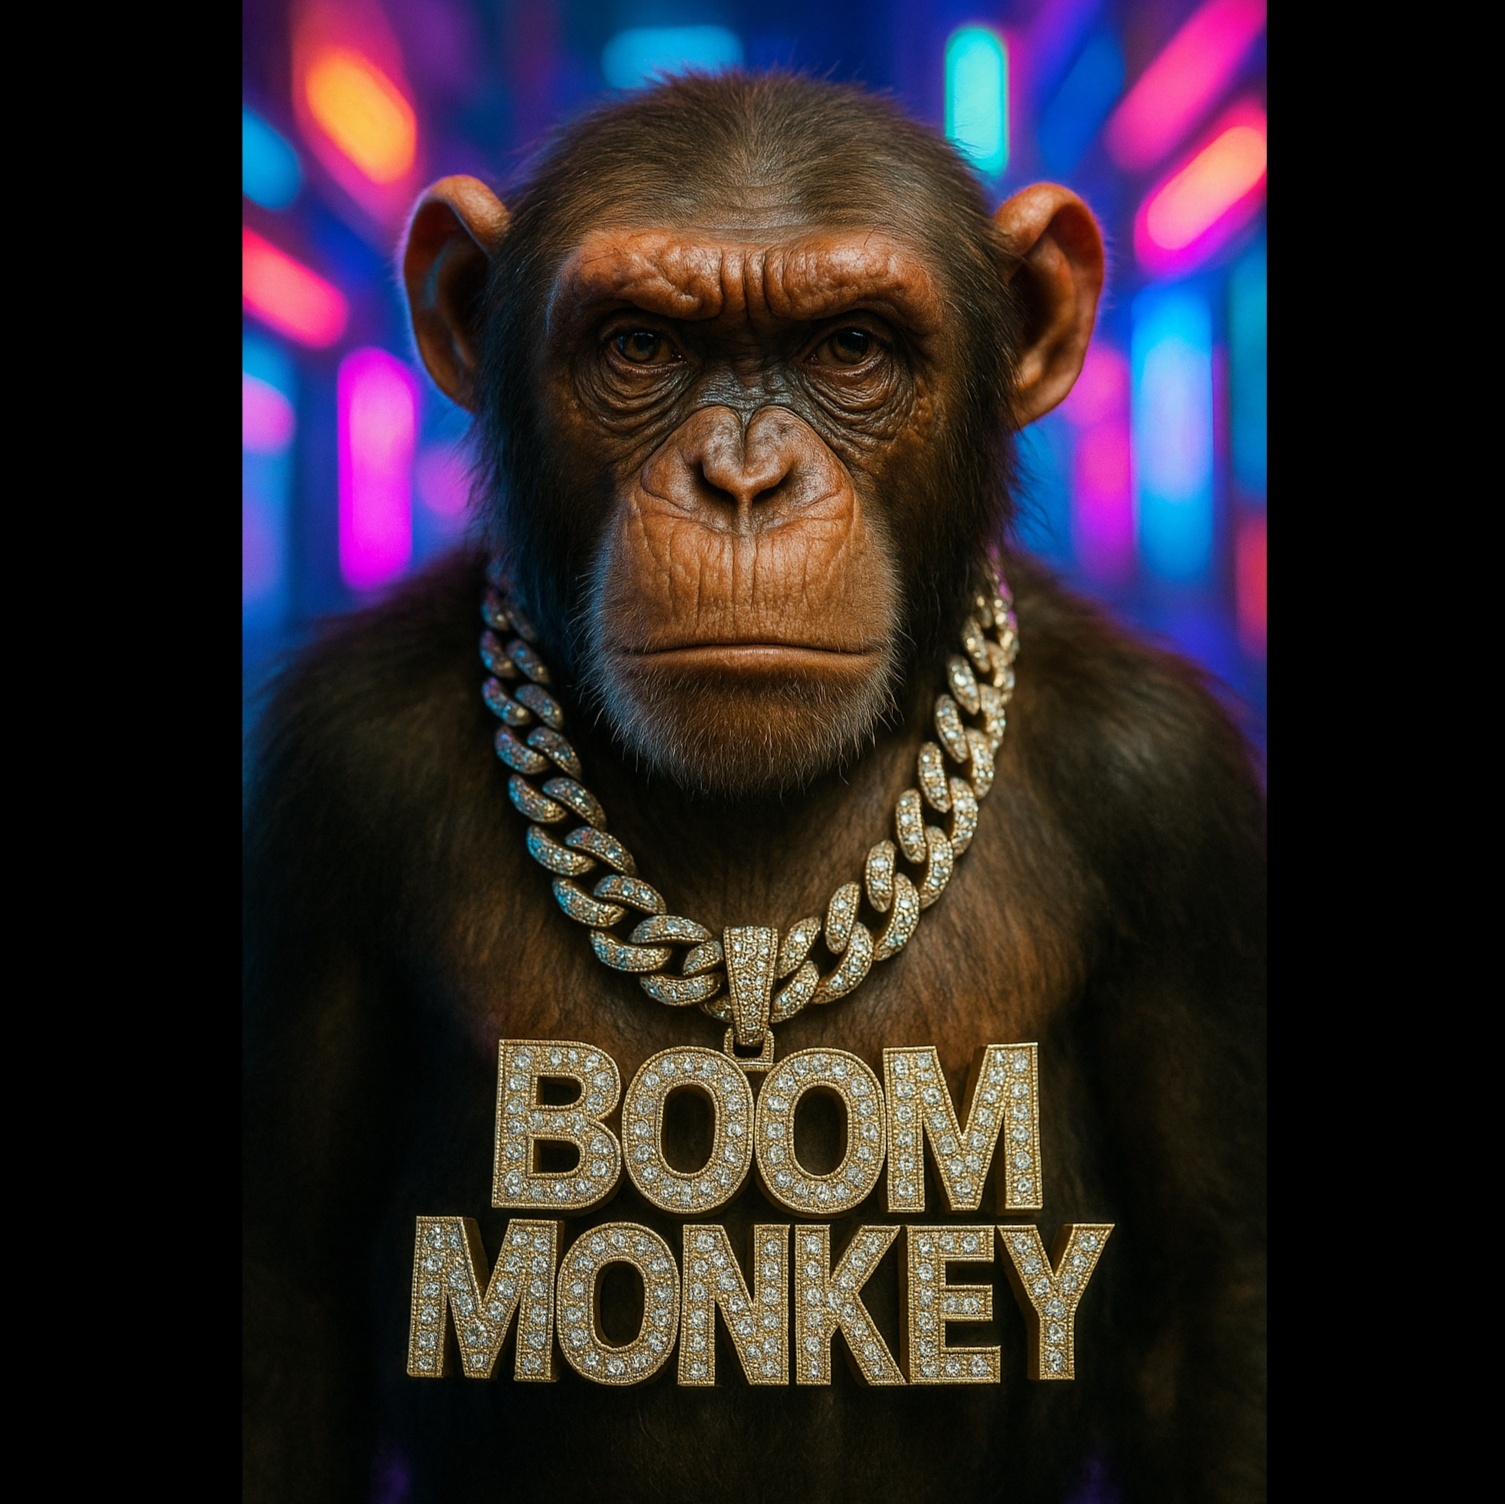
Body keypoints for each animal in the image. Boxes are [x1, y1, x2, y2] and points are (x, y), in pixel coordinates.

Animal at [243, 73, 1265, 1504]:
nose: (740, 478)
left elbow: (1206, 1305)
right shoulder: (328, 777)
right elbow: (289, 1282)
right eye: (638, 346)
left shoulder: (1170, 797)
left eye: (848, 347)